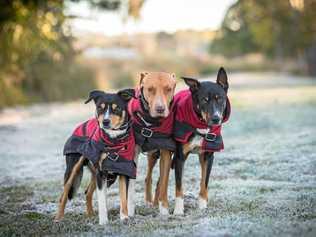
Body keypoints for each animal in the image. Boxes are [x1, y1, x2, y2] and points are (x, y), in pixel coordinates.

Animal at [54, 88, 136, 224]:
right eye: (100, 108)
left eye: (117, 108)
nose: (105, 122)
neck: (113, 140)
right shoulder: (101, 173)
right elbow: (102, 201)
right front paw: (103, 222)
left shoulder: (124, 171)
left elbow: (123, 197)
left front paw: (124, 217)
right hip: (73, 168)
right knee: (64, 194)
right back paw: (58, 218)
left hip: (98, 173)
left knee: (87, 192)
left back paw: (91, 215)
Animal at [128, 71, 178, 215]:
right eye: (150, 89)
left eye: (168, 89)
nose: (160, 109)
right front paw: (129, 210)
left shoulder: (166, 153)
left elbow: (164, 182)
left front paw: (164, 209)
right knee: (148, 177)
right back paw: (149, 201)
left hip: (155, 154)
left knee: (158, 182)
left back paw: (155, 203)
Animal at [172, 67, 231, 215]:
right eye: (204, 100)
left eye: (220, 99)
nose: (216, 119)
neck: (201, 126)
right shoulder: (180, 157)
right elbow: (179, 185)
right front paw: (178, 210)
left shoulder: (207, 156)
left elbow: (204, 182)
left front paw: (202, 206)